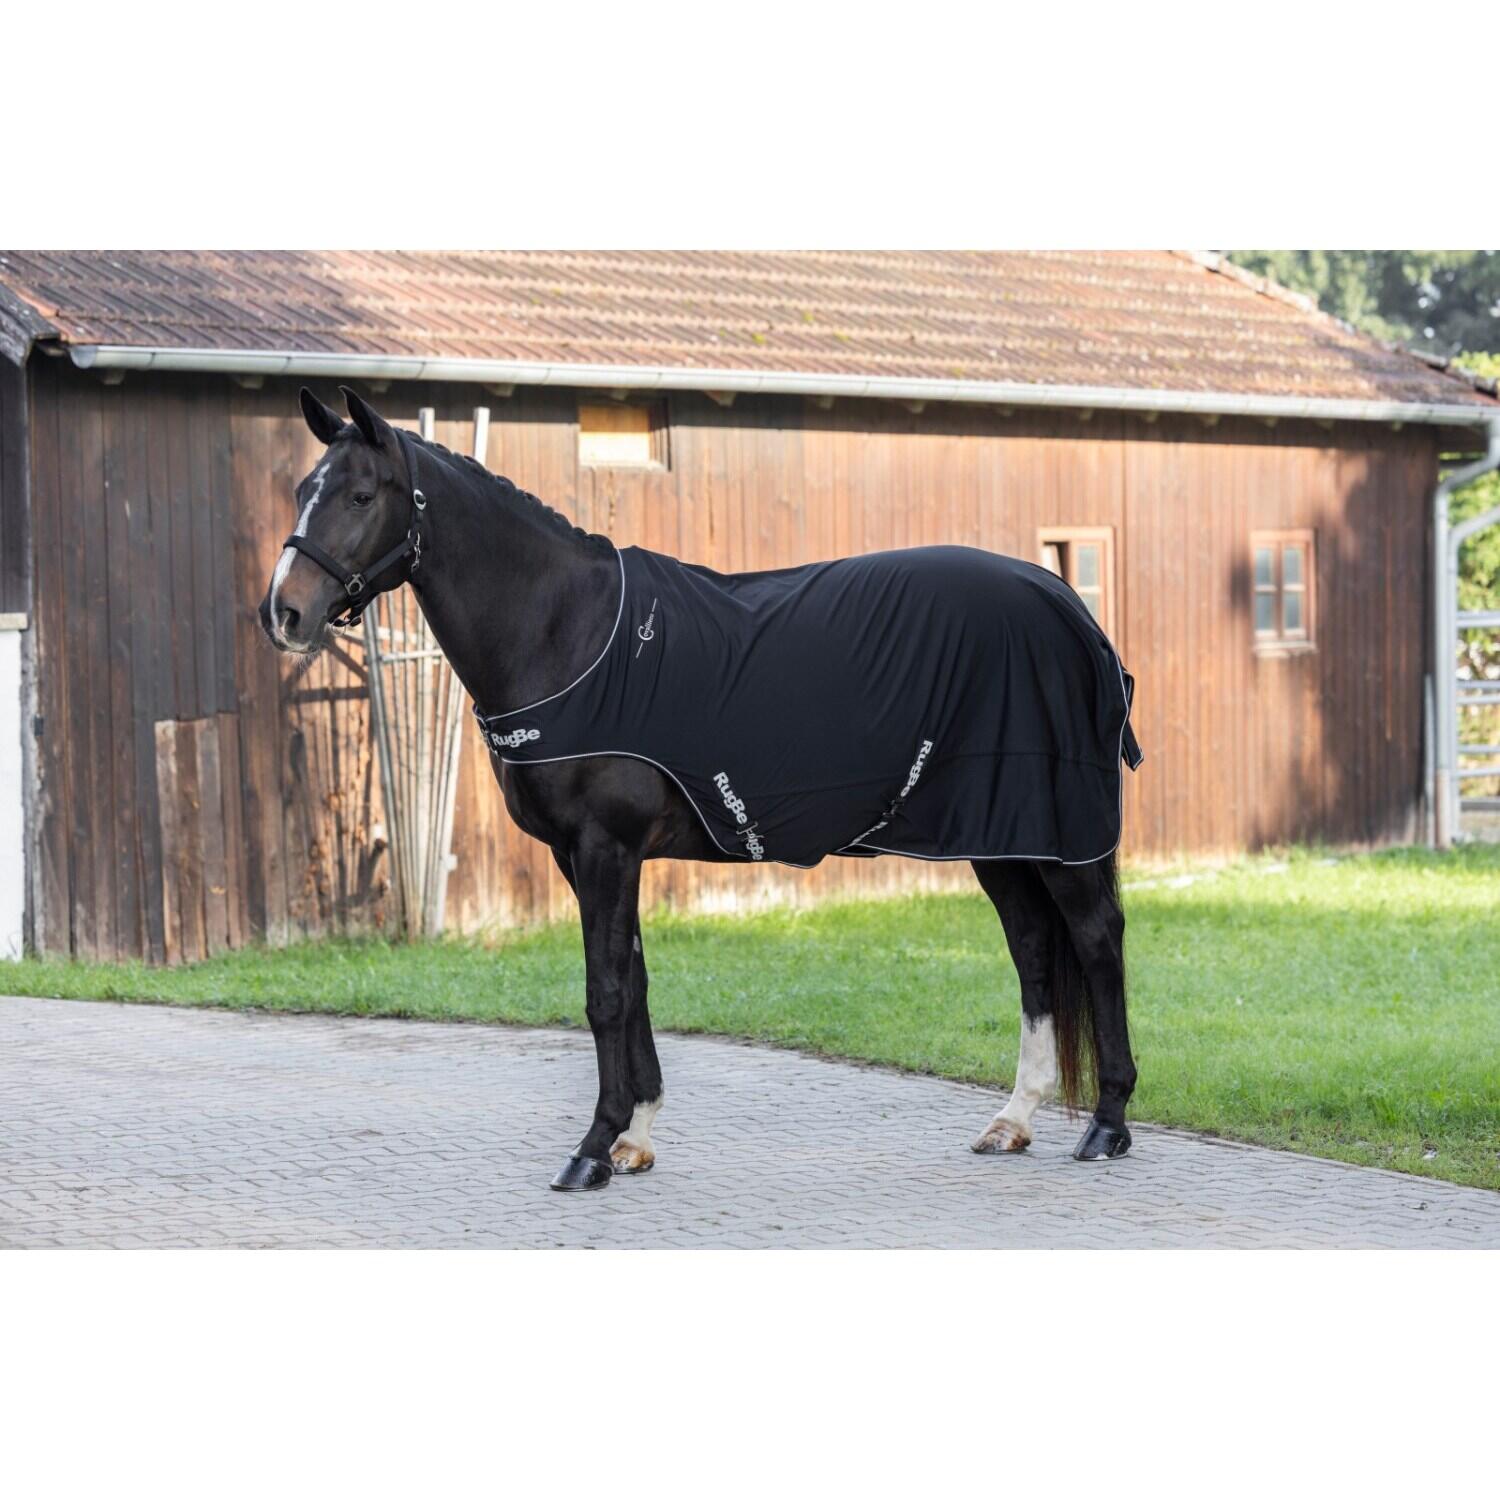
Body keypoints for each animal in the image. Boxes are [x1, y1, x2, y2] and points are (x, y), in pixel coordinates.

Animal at [260, 387, 1140, 1191]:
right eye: (303, 487)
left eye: (360, 495)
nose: (284, 613)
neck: (569, 635)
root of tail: (1067, 604)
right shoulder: (586, 857)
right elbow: (637, 982)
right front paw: (634, 1136)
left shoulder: (605, 848)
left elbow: (606, 992)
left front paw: (591, 1150)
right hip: (1003, 832)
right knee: (1032, 948)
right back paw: (1014, 1118)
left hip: (1050, 833)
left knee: (1096, 940)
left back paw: (1107, 1123)